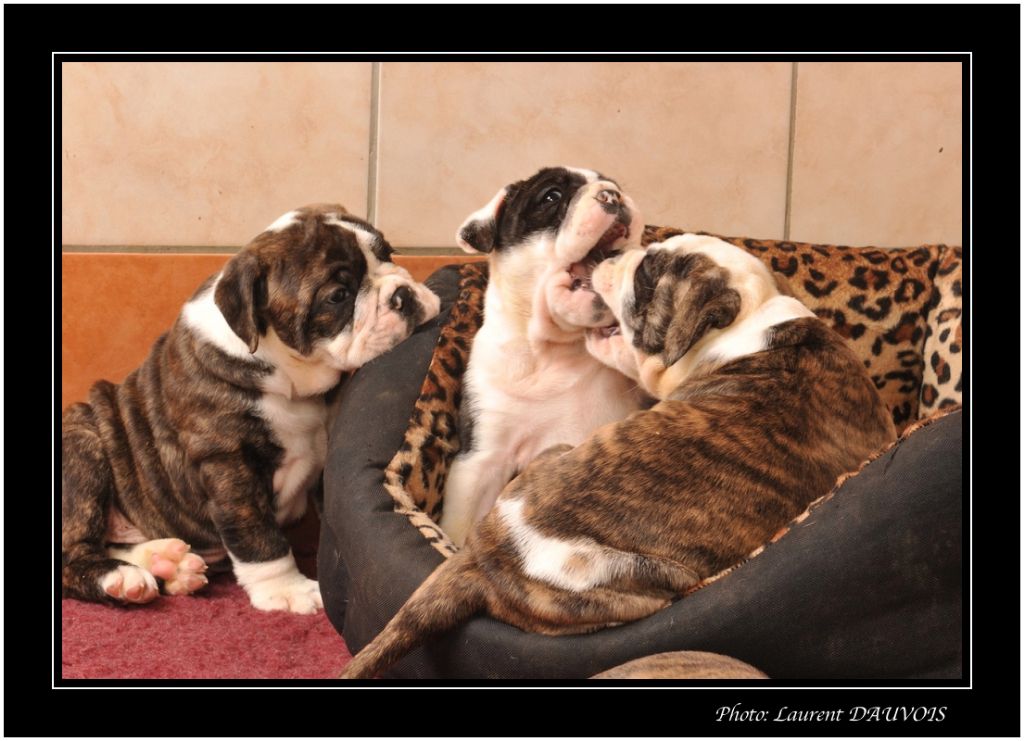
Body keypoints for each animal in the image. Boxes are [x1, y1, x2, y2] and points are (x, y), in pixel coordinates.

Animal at [61, 204, 441, 613]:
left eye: (388, 255)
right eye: (338, 296)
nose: (402, 294)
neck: (292, 378)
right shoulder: (229, 465)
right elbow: (258, 535)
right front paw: (287, 590)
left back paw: (168, 563)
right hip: (82, 447)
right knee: (72, 553)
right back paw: (121, 578)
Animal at [438, 167, 647, 547]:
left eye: (613, 185)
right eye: (551, 197)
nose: (612, 195)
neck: (556, 350)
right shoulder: (481, 461)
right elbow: (460, 526)